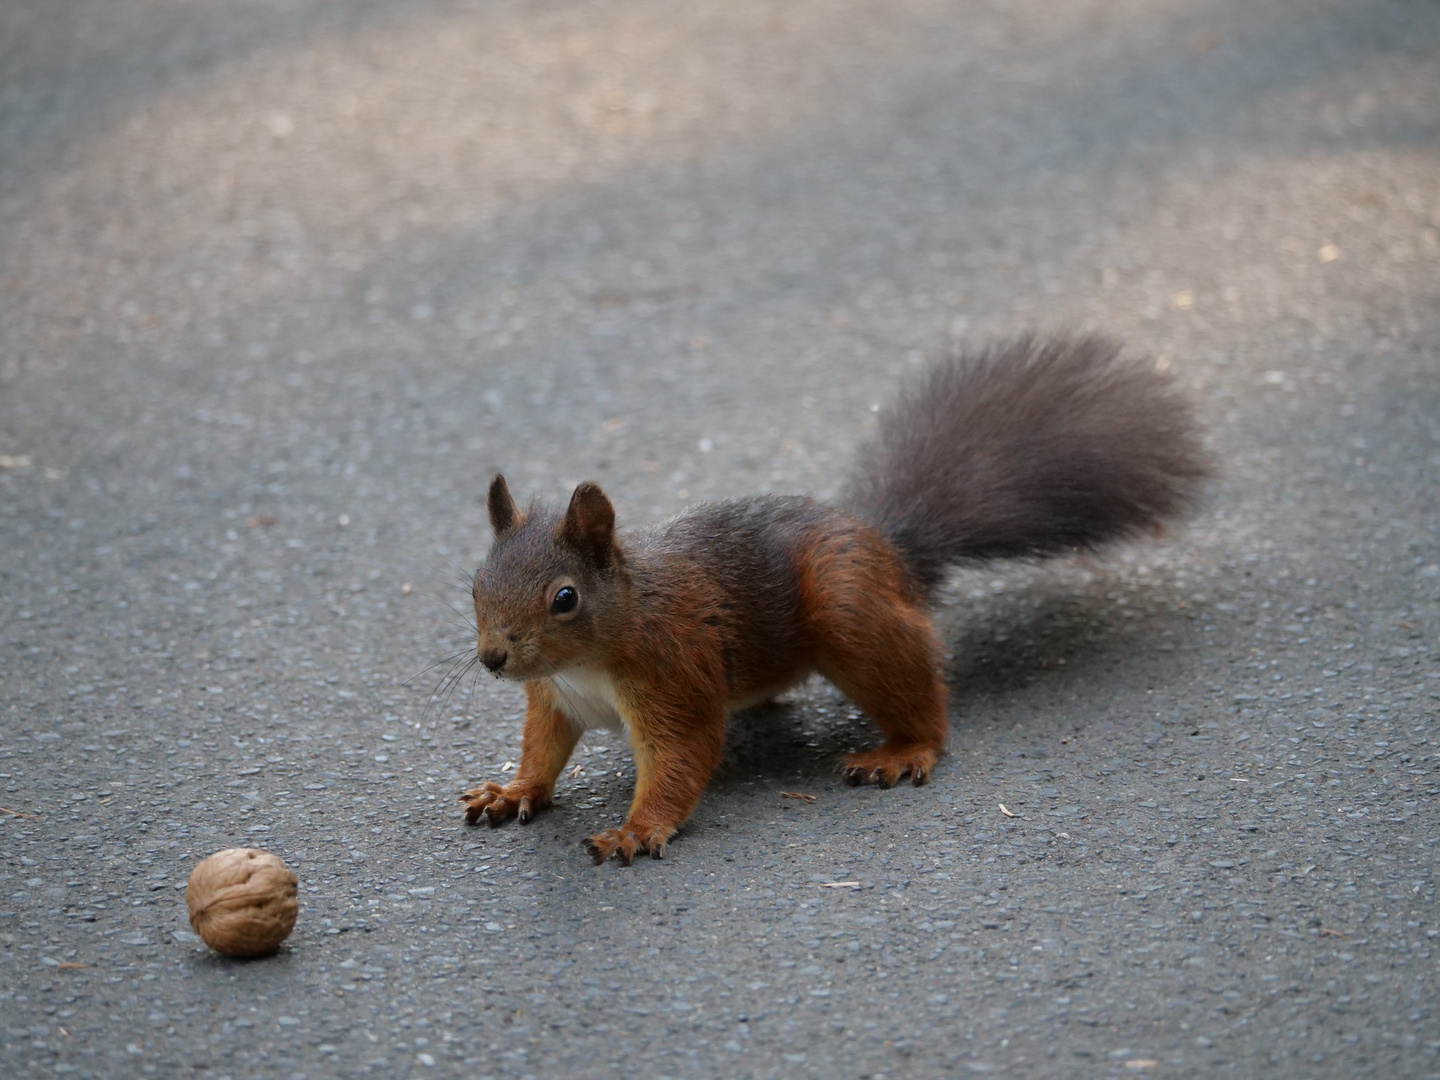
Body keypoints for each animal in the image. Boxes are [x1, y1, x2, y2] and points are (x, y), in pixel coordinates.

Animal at [457, 334, 1203, 869]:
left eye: (565, 598)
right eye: (475, 584)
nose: (492, 658)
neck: (593, 657)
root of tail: (891, 552)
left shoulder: (675, 670)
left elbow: (681, 756)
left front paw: (635, 831)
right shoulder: (555, 699)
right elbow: (542, 749)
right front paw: (513, 792)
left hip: (847, 609)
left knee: (923, 699)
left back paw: (902, 750)